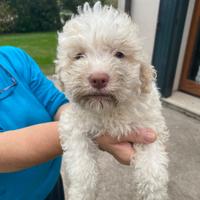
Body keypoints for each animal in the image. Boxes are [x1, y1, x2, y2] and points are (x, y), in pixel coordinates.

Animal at [56, 1, 169, 200]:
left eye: (119, 54)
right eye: (79, 56)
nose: (98, 79)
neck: (109, 109)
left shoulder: (150, 127)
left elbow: (153, 170)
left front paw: (154, 193)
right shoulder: (73, 126)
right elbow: (82, 168)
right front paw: (80, 193)